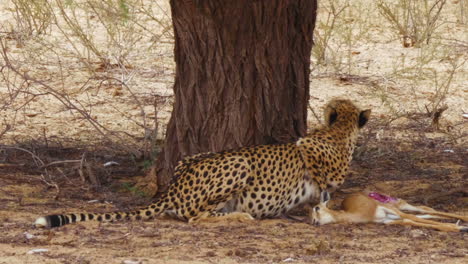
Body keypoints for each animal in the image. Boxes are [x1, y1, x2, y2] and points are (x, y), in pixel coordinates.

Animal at [33, 98, 370, 228]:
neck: (339, 131)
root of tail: (173, 188)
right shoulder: (310, 151)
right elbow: (321, 177)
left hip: (192, 157)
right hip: (239, 163)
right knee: (195, 217)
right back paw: (240, 216)